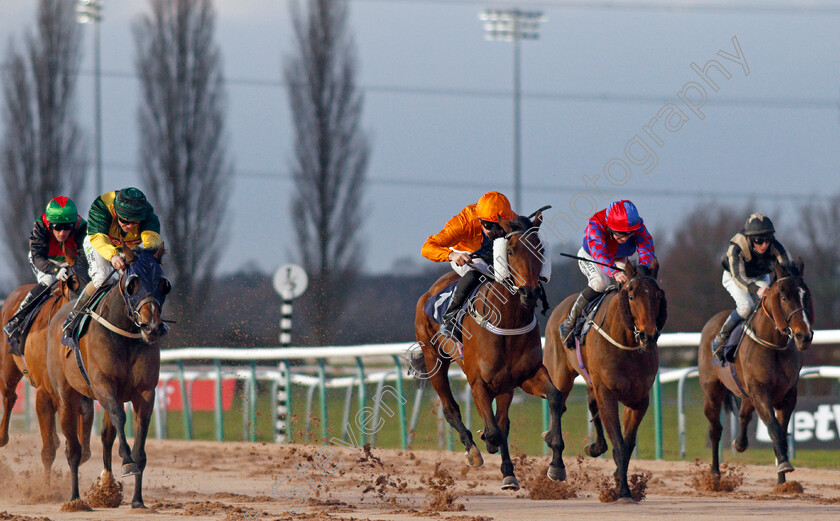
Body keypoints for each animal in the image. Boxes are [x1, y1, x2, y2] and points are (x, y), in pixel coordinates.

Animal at [0, 256, 94, 480]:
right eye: (74, 285)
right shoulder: (43, 394)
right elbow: (49, 450)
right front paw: (46, 485)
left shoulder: (81, 394)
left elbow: (84, 450)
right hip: (8, 367)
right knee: (9, 396)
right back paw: (2, 437)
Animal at [47, 245, 171, 508]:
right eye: (133, 283)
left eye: (164, 284)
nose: (152, 327)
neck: (125, 333)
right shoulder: (103, 385)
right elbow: (118, 416)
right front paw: (127, 461)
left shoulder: (145, 392)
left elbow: (139, 433)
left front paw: (137, 500)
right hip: (65, 395)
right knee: (73, 449)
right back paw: (75, 499)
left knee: (105, 436)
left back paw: (105, 486)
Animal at [408, 210, 564, 488]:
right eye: (510, 251)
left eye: (540, 250)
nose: (530, 292)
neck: (508, 320)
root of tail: (431, 291)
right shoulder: (478, 382)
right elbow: (493, 430)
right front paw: (486, 442)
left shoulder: (526, 376)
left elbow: (554, 398)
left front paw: (555, 464)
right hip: (434, 359)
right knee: (450, 409)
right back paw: (472, 450)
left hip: (504, 385)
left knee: (503, 420)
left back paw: (508, 471)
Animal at [540, 260, 668, 500]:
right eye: (631, 295)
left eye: (657, 295)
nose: (648, 336)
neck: (627, 345)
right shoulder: (607, 392)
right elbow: (619, 444)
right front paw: (624, 491)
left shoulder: (639, 399)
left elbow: (627, 444)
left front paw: (620, 479)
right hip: (560, 372)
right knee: (557, 405)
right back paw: (556, 464)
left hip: (591, 381)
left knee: (591, 405)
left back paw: (595, 447)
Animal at [696, 260, 812, 484]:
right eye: (784, 297)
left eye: (806, 295)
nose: (804, 336)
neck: (773, 344)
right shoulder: (760, 391)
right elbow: (773, 427)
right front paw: (784, 466)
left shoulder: (788, 394)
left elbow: (781, 431)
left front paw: (782, 481)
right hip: (712, 390)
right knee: (715, 429)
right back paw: (714, 473)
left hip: (745, 392)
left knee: (743, 414)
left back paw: (739, 444)